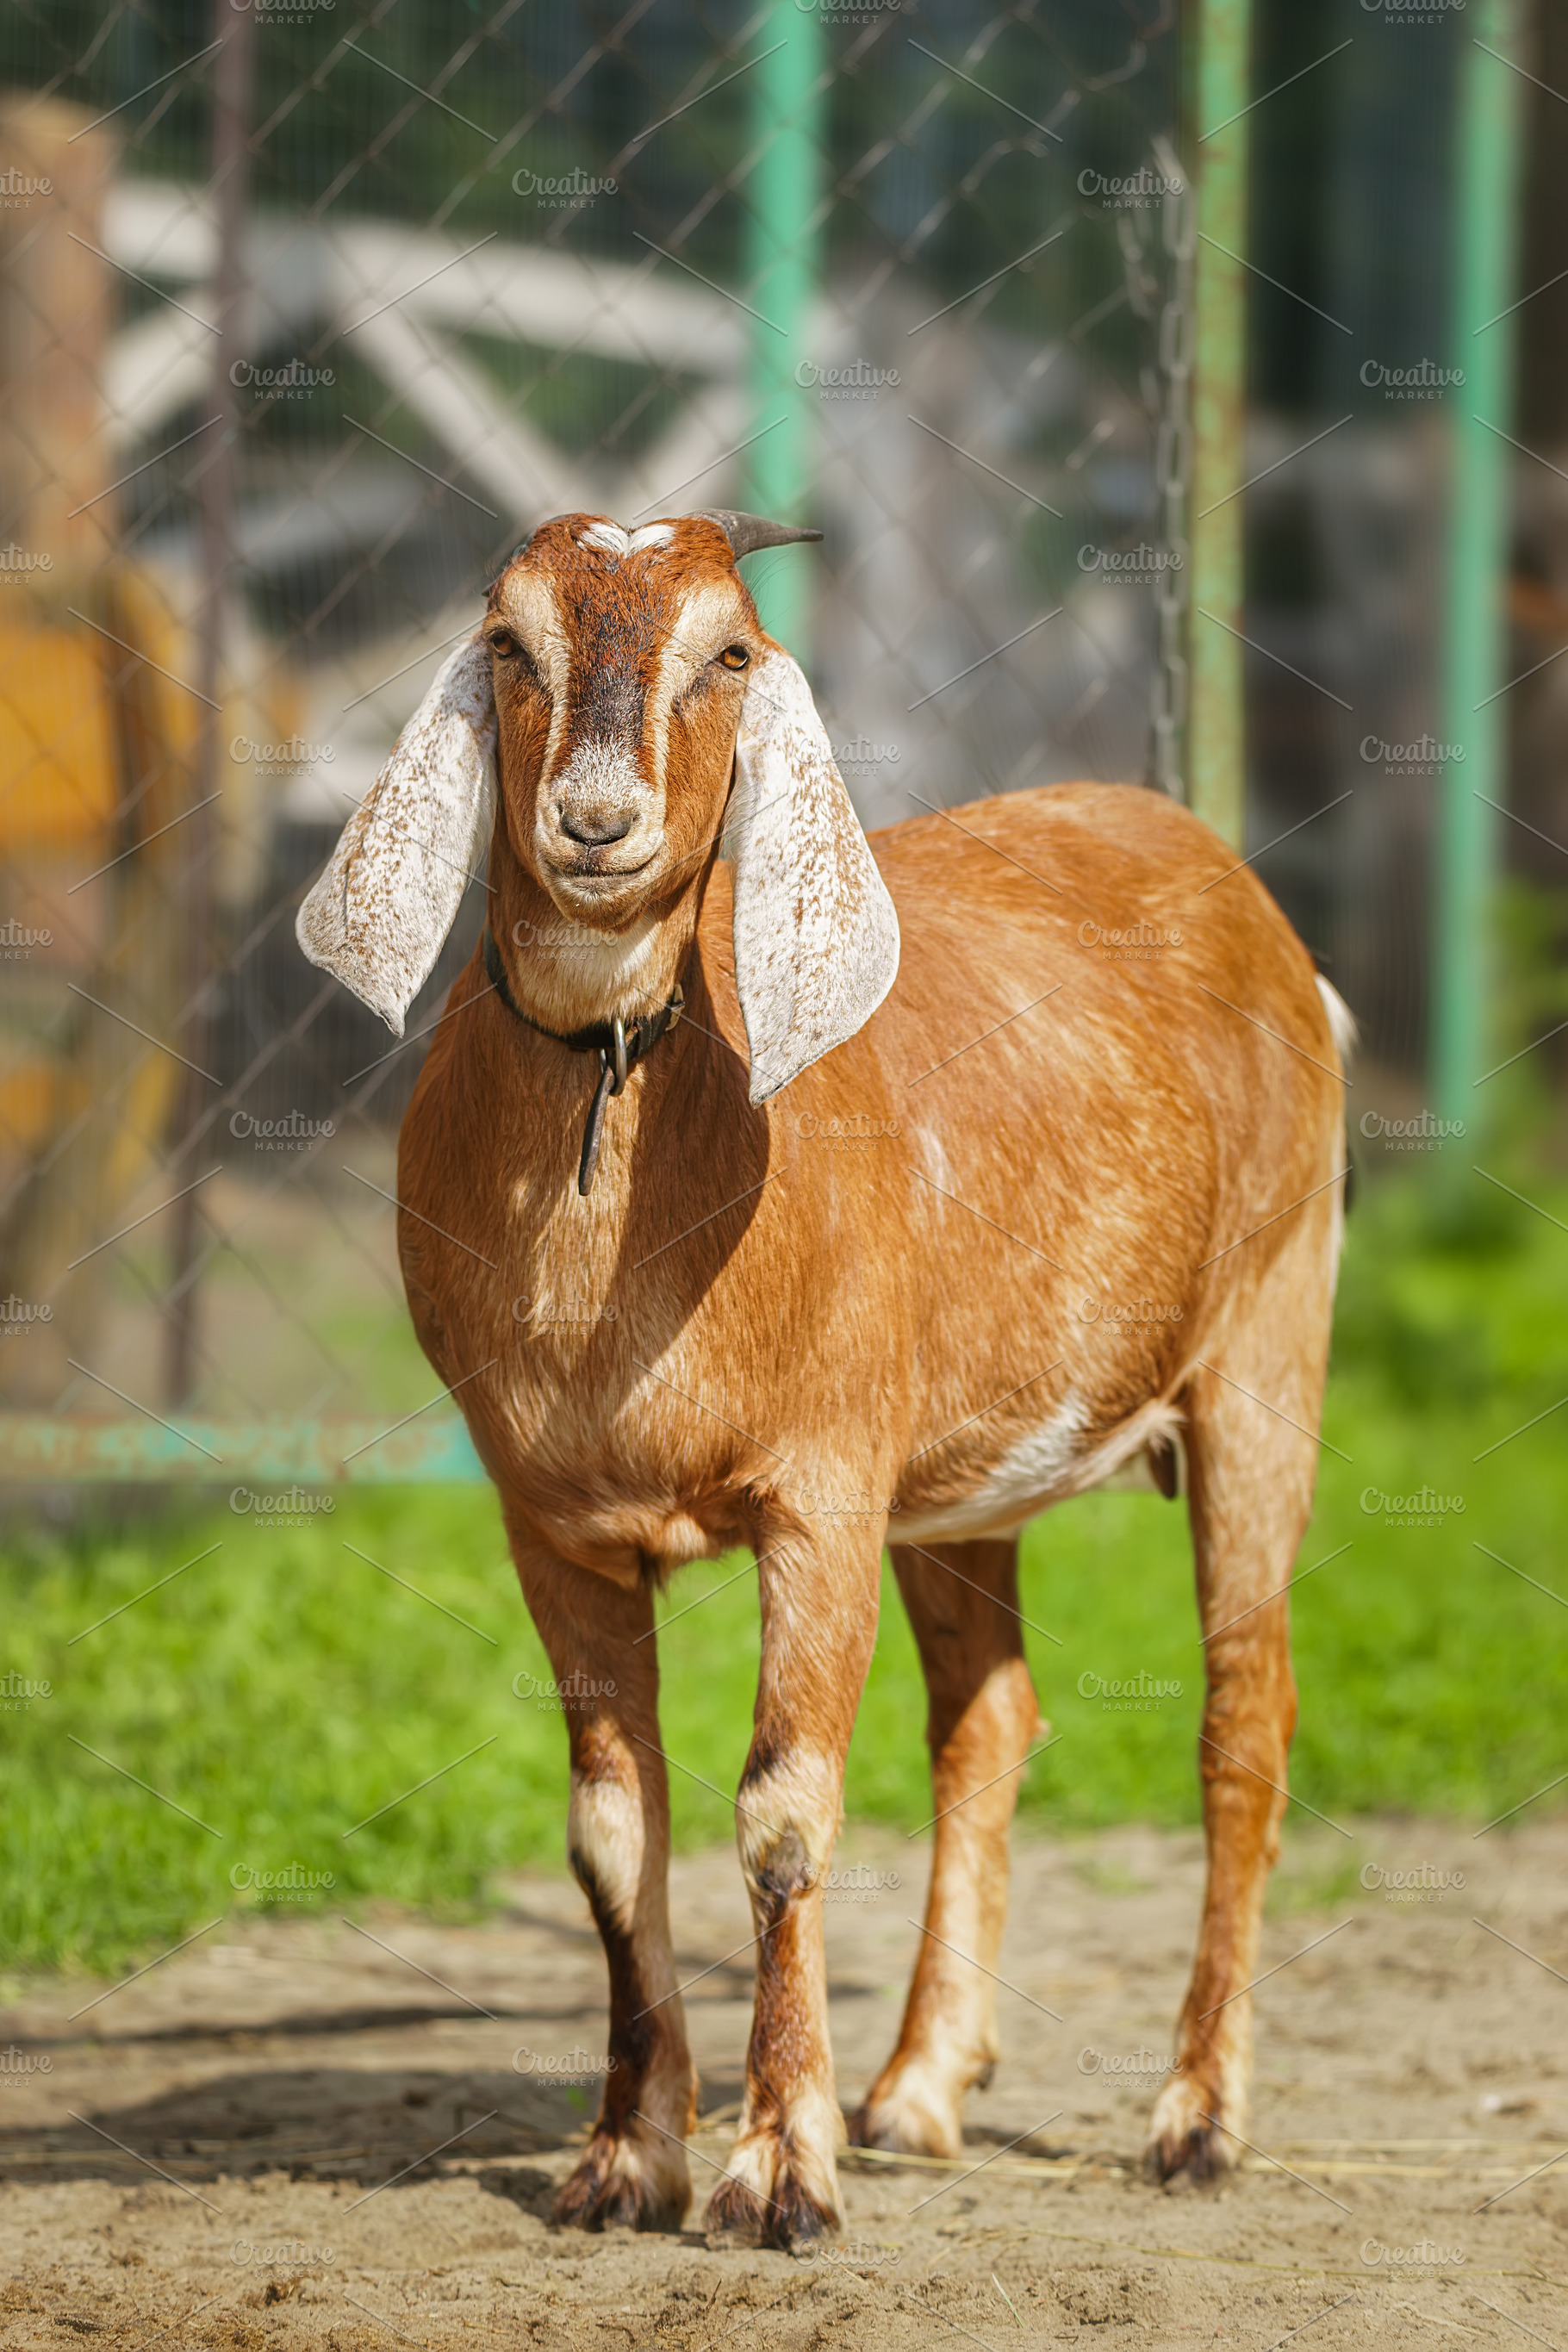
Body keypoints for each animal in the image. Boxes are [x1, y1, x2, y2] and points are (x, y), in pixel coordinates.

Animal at [299, 509, 1352, 2250]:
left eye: (728, 650)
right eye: (510, 642)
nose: (597, 822)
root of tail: (1240, 890)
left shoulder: (822, 1491)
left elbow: (782, 1816)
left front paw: (777, 2174)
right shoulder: (553, 1520)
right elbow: (610, 1833)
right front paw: (625, 2157)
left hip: (1266, 1350)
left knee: (1244, 1717)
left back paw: (1197, 2117)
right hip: (964, 1477)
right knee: (988, 1722)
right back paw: (921, 2086)